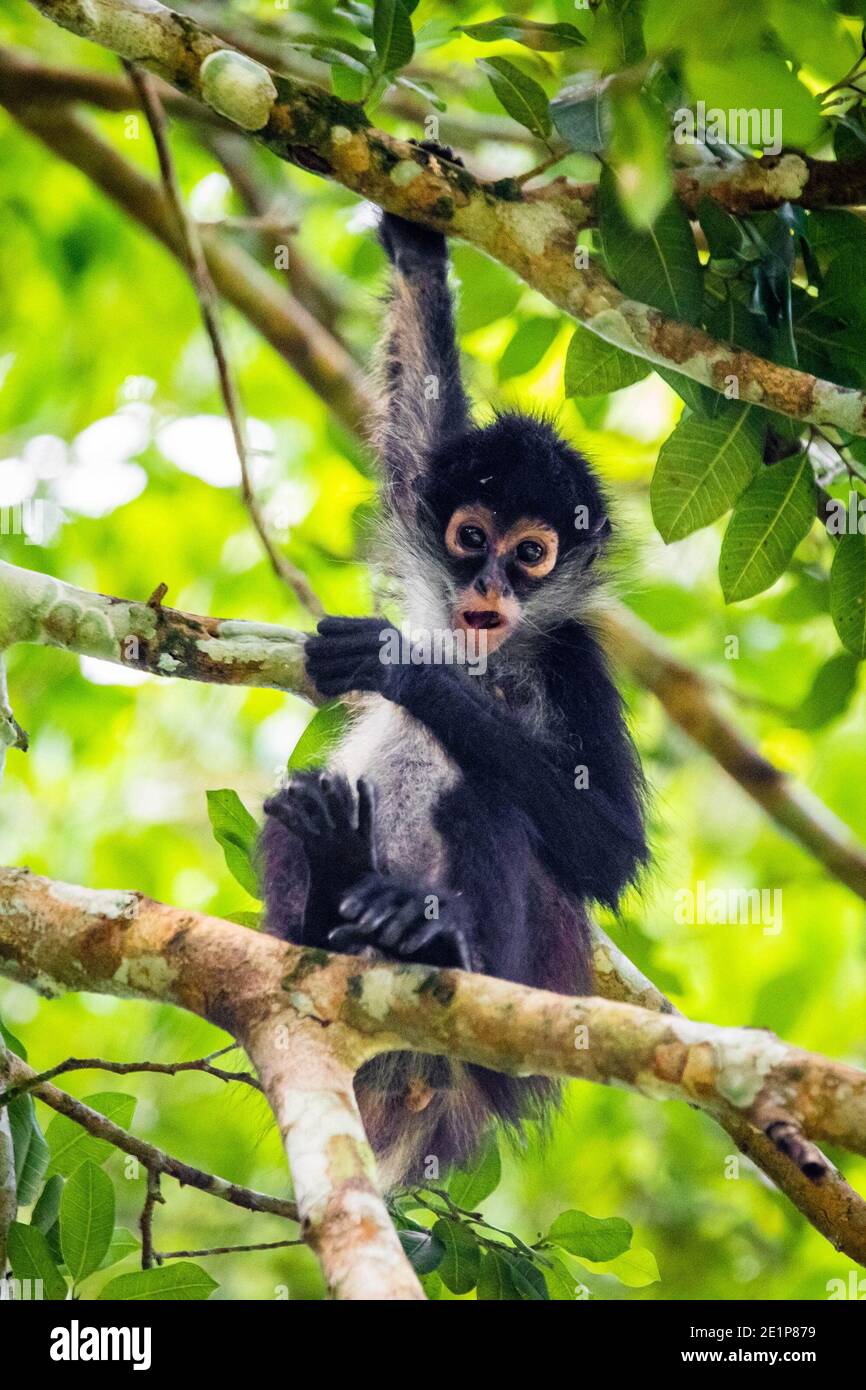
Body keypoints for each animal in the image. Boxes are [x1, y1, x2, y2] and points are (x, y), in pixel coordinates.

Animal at [260, 144, 648, 1189]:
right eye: (472, 537)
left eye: (533, 554)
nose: (489, 587)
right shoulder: (424, 494)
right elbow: (420, 395)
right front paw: (417, 240)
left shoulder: (574, 655)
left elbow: (608, 850)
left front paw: (408, 673)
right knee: (294, 809)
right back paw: (333, 888)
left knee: (486, 801)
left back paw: (435, 939)